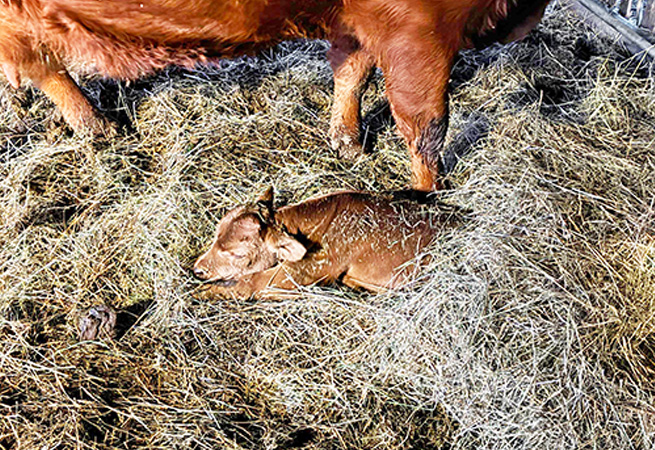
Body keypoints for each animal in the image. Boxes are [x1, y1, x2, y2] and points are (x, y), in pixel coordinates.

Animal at [0, 0, 551, 190]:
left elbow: (353, 69)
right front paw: (429, 194)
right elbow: (426, 122)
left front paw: (347, 145)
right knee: (43, 64)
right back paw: (101, 129)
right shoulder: (420, 28)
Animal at [192, 188, 460, 298]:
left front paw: (203, 292)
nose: (198, 270)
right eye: (216, 234)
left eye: (238, 254)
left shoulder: (310, 268)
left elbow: (252, 282)